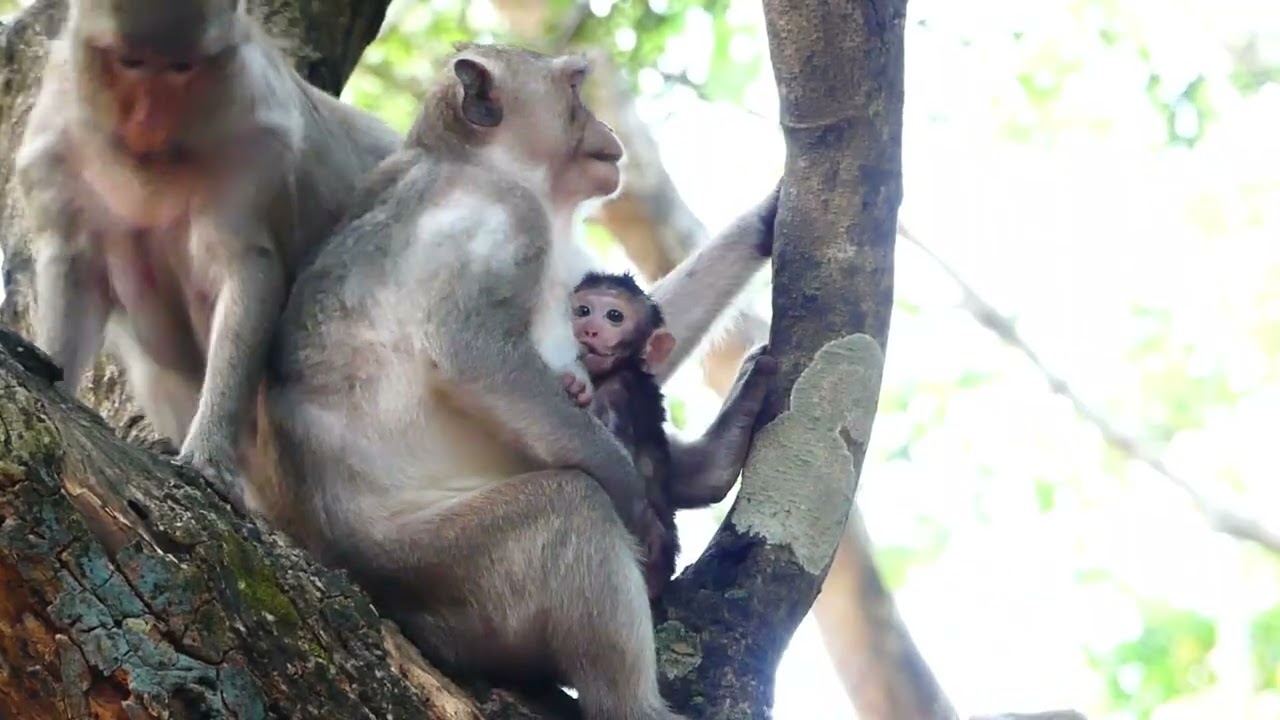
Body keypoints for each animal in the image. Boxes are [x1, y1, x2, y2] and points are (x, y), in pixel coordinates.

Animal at [13, 0, 401, 511]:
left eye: (182, 68)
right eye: (131, 62)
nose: (148, 119)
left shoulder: (257, 150)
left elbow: (247, 275)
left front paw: (209, 456)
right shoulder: (55, 148)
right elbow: (74, 269)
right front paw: (46, 373)